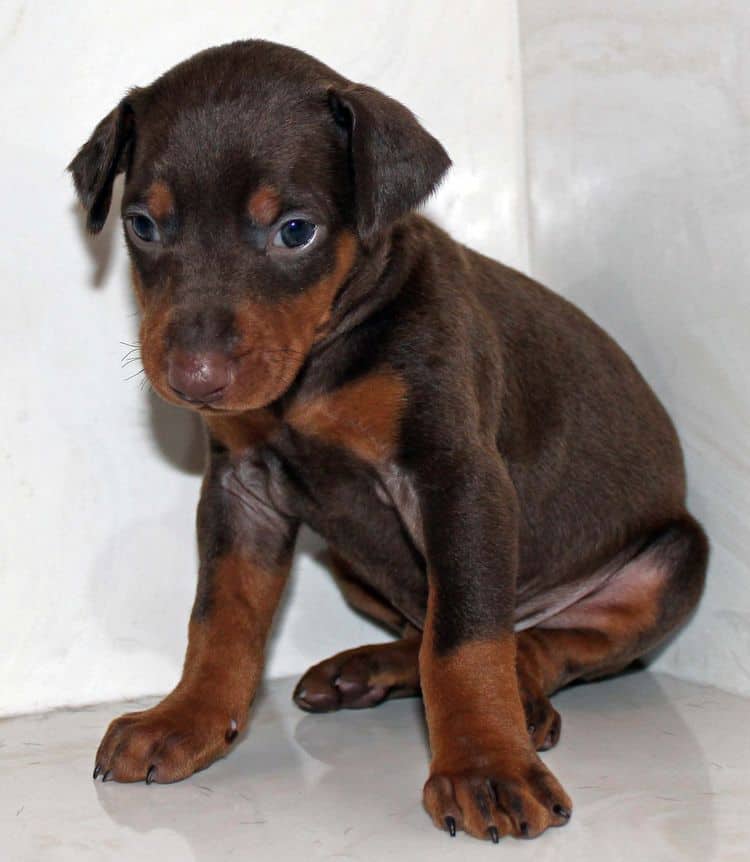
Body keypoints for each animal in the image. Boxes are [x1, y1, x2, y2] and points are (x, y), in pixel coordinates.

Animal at [67, 40, 708, 844]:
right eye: (144, 226)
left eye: (296, 231)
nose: (195, 377)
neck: (317, 366)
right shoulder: (242, 486)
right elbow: (219, 617)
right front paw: (186, 719)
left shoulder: (455, 477)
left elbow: (463, 637)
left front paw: (485, 765)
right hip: (350, 564)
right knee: (425, 627)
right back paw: (370, 669)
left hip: (678, 558)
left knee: (538, 642)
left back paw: (522, 698)